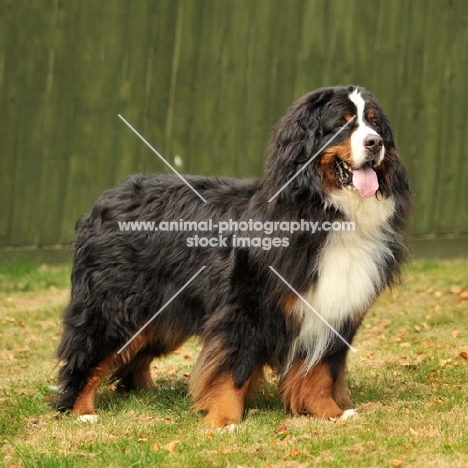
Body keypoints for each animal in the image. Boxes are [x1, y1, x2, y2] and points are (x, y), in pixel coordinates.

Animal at [54, 84, 412, 428]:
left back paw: (147, 393)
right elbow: (234, 368)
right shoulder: (244, 307)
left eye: (374, 122)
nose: (375, 143)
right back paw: (81, 409)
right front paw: (224, 419)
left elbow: (321, 371)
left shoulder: (334, 307)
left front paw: (329, 413)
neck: (326, 212)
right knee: (89, 354)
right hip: (116, 307)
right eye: (341, 124)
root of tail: (106, 197)